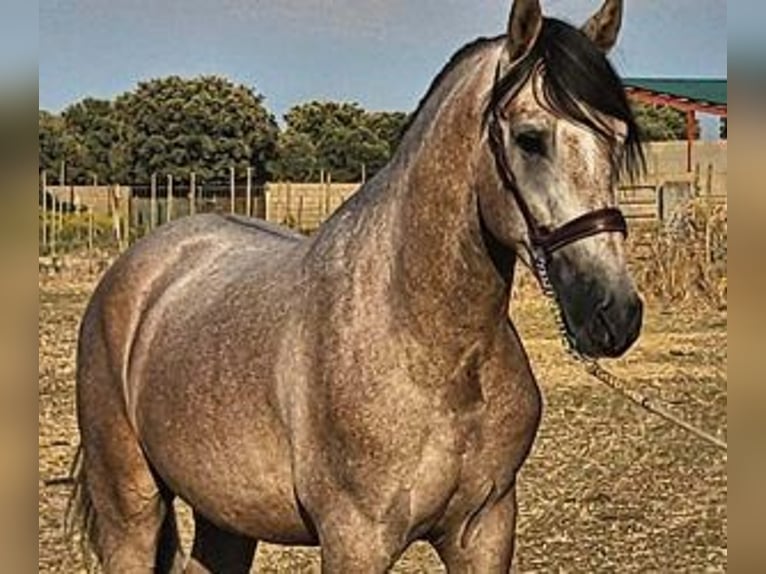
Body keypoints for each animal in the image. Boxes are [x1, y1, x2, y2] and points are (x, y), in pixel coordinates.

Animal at [69, 0, 644, 571]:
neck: (429, 346)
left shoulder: (485, 528)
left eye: (617, 139)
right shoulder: (355, 538)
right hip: (129, 507)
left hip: (226, 513)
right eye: (530, 139)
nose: (614, 313)